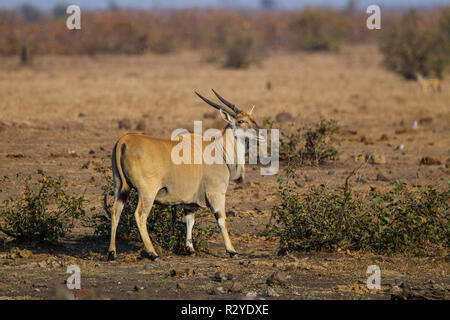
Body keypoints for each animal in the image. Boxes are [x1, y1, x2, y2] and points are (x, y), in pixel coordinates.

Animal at [107, 89, 260, 262]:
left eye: (252, 118)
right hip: (147, 193)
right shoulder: (216, 193)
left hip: (121, 188)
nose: (260, 133)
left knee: (115, 212)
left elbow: (189, 220)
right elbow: (222, 220)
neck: (218, 149)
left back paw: (112, 253)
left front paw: (190, 249)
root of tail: (124, 141)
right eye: (241, 121)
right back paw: (153, 253)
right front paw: (232, 251)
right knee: (140, 216)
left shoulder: (189, 202)